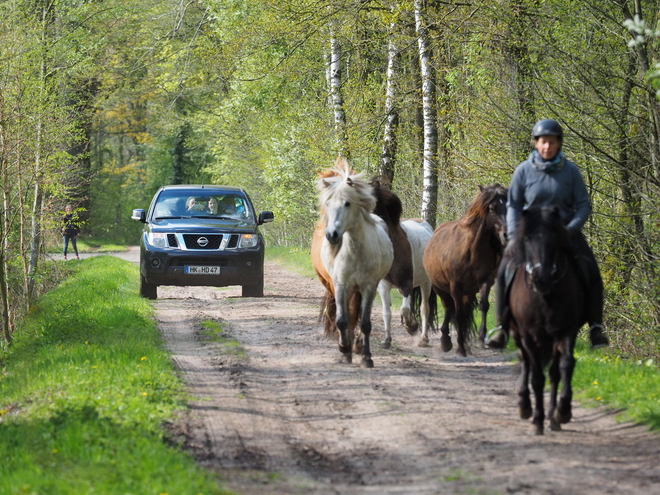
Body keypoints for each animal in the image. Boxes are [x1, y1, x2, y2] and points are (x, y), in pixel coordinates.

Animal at [318, 161, 392, 366]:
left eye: (347, 203)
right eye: (328, 203)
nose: (332, 235)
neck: (355, 253)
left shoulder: (368, 287)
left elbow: (365, 323)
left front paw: (366, 357)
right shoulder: (341, 285)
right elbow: (342, 320)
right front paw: (345, 351)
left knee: (360, 314)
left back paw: (358, 345)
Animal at [378, 219, 436, 350]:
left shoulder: (407, 284)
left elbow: (404, 309)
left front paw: (412, 327)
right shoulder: (384, 285)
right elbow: (386, 312)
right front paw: (387, 340)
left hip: (426, 283)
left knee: (424, 308)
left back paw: (423, 339)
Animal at [420, 185, 508, 356]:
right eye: (492, 208)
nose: (506, 235)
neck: (471, 250)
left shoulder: (485, 282)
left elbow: (483, 306)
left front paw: (480, 339)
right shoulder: (455, 286)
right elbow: (458, 313)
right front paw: (459, 347)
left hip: (469, 291)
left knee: (464, 310)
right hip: (440, 288)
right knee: (449, 307)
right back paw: (446, 341)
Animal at [508, 207, 584, 436]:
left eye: (555, 239)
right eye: (527, 239)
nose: (541, 279)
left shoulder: (566, 332)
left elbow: (564, 367)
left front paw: (562, 412)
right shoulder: (528, 336)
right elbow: (536, 377)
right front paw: (537, 421)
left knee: (552, 371)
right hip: (517, 334)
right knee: (525, 362)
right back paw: (525, 406)